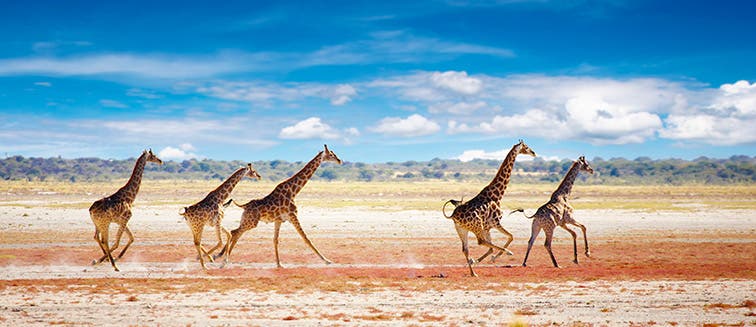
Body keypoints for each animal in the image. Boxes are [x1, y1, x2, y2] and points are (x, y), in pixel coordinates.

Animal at [213, 145, 342, 268]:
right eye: (331, 154)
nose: (339, 160)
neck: (293, 191)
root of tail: (244, 206)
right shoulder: (293, 216)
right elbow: (306, 238)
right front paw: (327, 261)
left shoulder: (279, 220)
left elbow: (275, 240)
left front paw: (279, 264)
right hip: (251, 222)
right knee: (235, 232)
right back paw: (222, 260)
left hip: (246, 220)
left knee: (236, 233)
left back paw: (220, 257)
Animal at [442, 140, 536, 278]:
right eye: (527, 147)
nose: (534, 153)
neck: (497, 195)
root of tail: (453, 215)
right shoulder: (495, 222)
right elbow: (510, 237)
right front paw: (494, 257)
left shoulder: (488, 227)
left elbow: (496, 245)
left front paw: (481, 260)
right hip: (477, 226)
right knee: (480, 242)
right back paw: (507, 252)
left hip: (462, 230)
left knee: (466, 249)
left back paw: (473, 273)